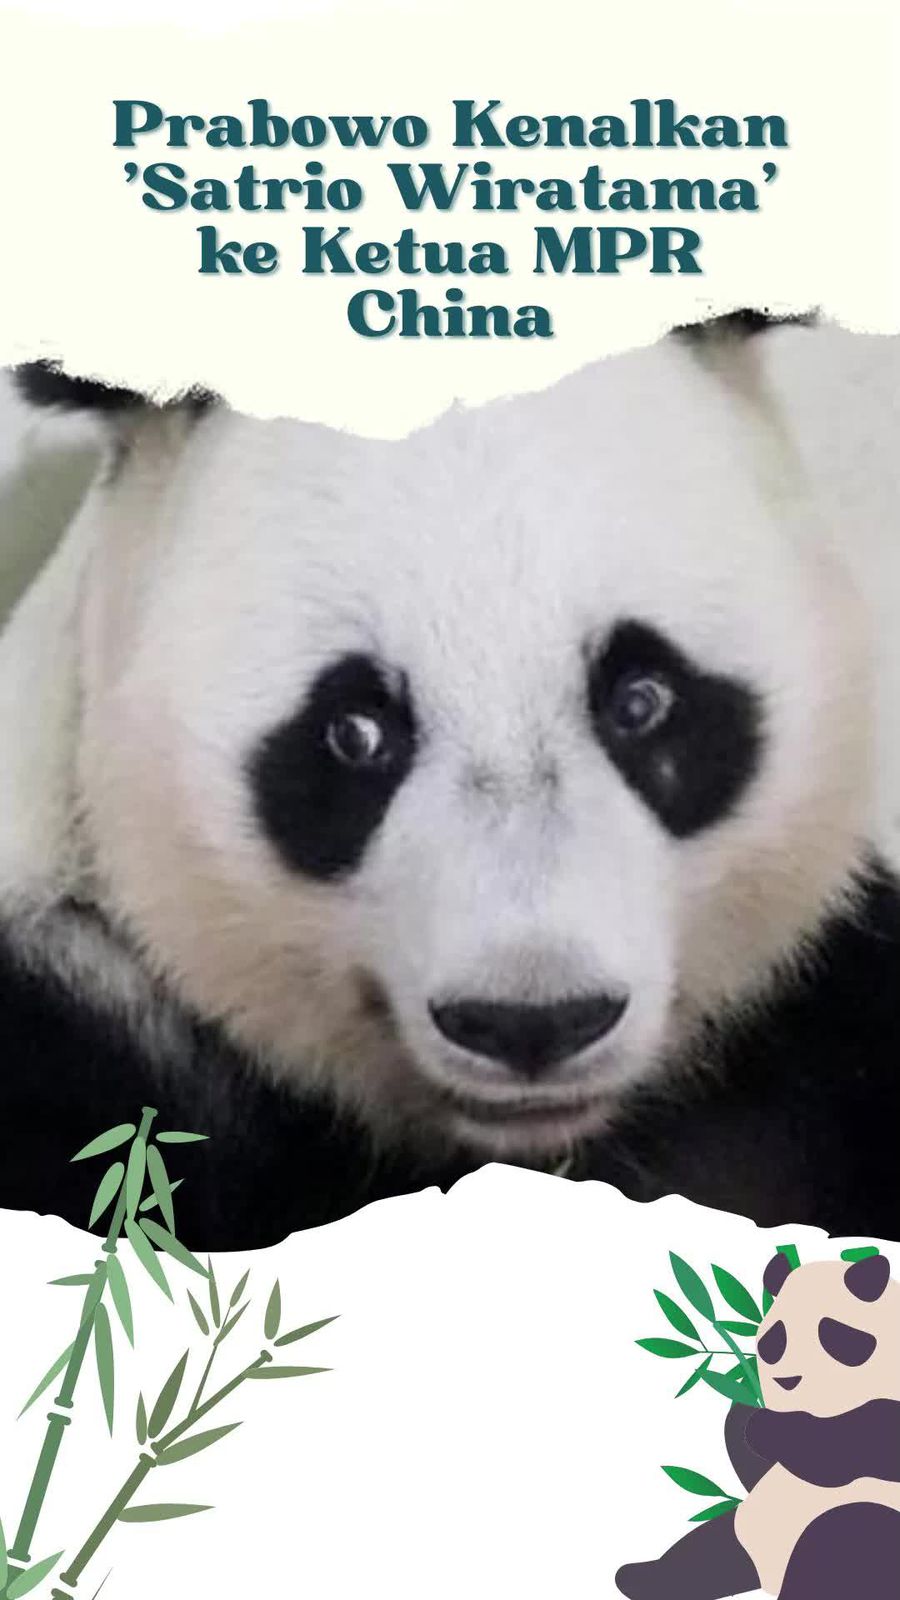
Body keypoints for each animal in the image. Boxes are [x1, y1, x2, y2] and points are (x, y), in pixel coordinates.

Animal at [617, 1250, 900, 1599]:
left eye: (830, 1333)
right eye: (777, 1339)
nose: (788, 1380)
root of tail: (768, 1579)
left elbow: (833, 1456)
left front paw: (764, 1426)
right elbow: (754, 1463)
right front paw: (746, 1412)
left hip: (861, 1536)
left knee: (839, 1544)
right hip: (742, 1527)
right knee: (703, 1552)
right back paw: (637, 1578)